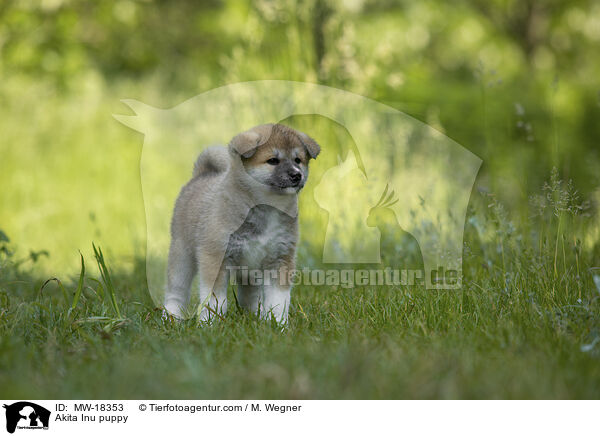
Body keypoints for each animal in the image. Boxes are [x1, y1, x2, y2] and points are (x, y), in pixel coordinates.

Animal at [162, 122, 322, 324]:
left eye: (298, 160)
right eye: (273, 161)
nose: (296, 175)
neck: (265, 207)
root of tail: (202, 174)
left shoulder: (280, 260)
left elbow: (279, 300)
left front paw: (278, 324)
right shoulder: (215, 257)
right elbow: (214, 300)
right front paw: (211, 324)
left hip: (249, 271)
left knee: (249, 296)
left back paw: (252, 316)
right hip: (182, 254)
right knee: (176, 290)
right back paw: (171, 315)